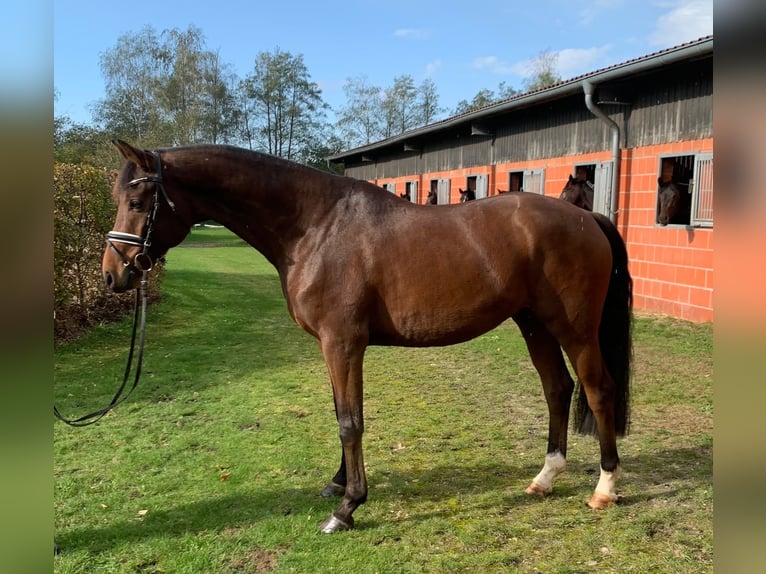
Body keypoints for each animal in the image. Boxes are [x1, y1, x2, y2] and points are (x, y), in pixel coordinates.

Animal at [103, 140, 633, 534]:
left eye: (138, 202)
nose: (113, 275)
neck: (316, 226)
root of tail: (587, 218)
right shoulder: (332, 347)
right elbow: (341, 413)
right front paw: (340, 484)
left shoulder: (342, 343)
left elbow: (349, 422)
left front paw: (347, 507)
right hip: (533, 324)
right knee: (557, 389)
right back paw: (545, 478)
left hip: (574, 329)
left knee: (597, 390)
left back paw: (604, 487)